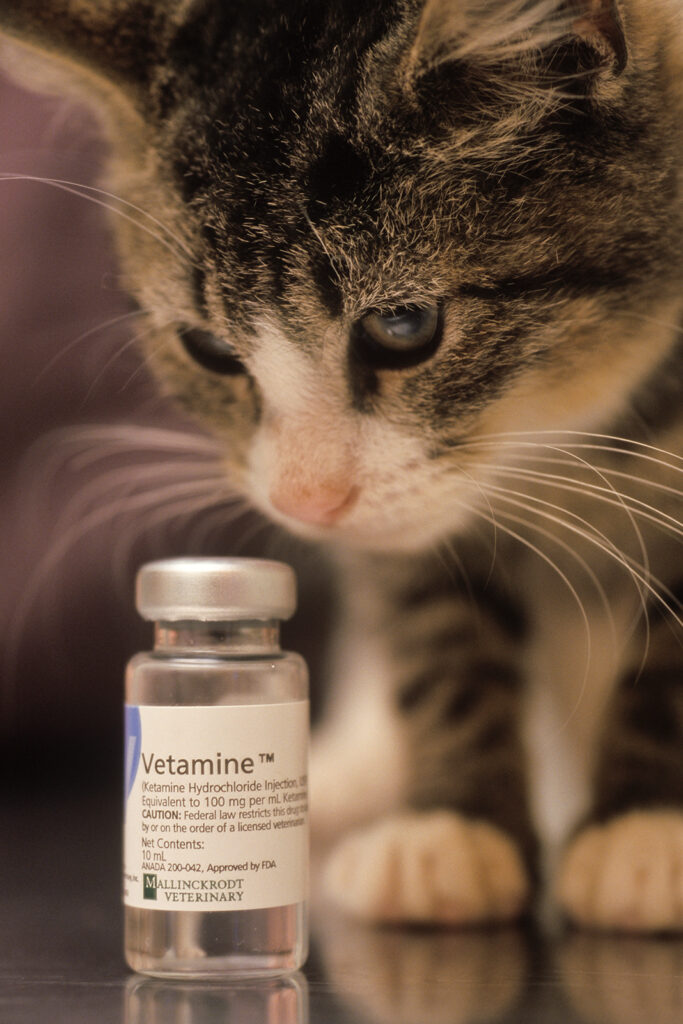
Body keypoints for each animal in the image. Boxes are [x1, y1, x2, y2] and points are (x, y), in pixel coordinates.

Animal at [2, 0, 679, 929]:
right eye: (208, 349)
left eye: (403, 326)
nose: (307, 501)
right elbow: (427, 616)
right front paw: (450, 826)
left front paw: (642, 829)